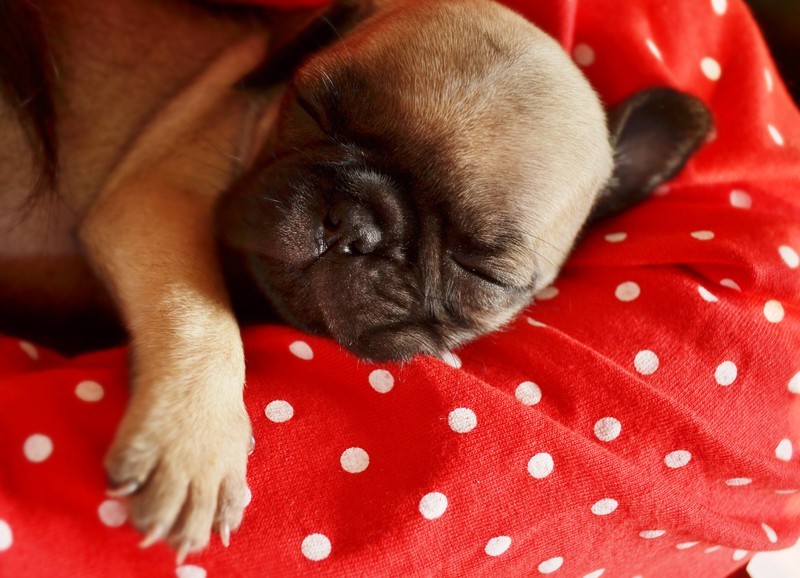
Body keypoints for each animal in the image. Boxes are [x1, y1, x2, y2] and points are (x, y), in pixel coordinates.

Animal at [0, 0, 712, 564]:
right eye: (314, 110)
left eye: (482, 267)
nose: (356, 225)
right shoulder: (157, 200)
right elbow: (198, 312)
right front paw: (195, 441)